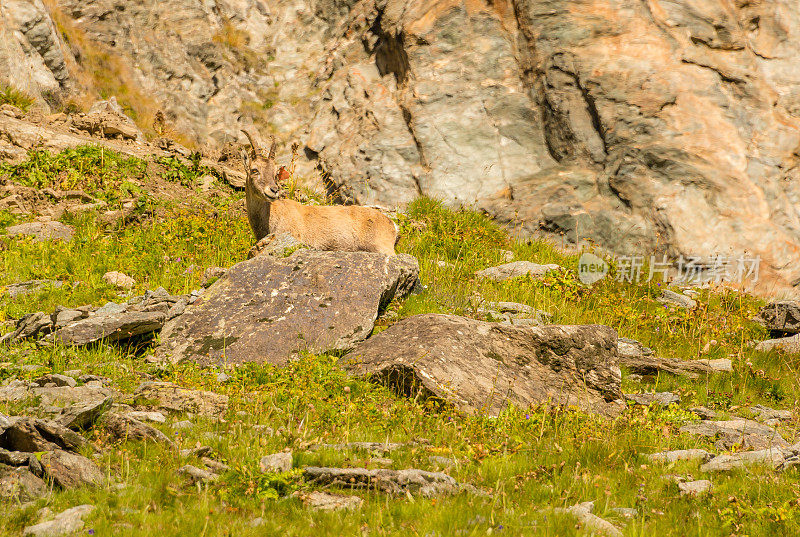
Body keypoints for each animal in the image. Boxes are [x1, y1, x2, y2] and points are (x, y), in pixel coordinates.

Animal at [241, 129, 396, 255]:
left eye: (275, 174)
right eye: (254, 170)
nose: (274, 190)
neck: (273, 215)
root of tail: (392, 225)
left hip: (381, 246)